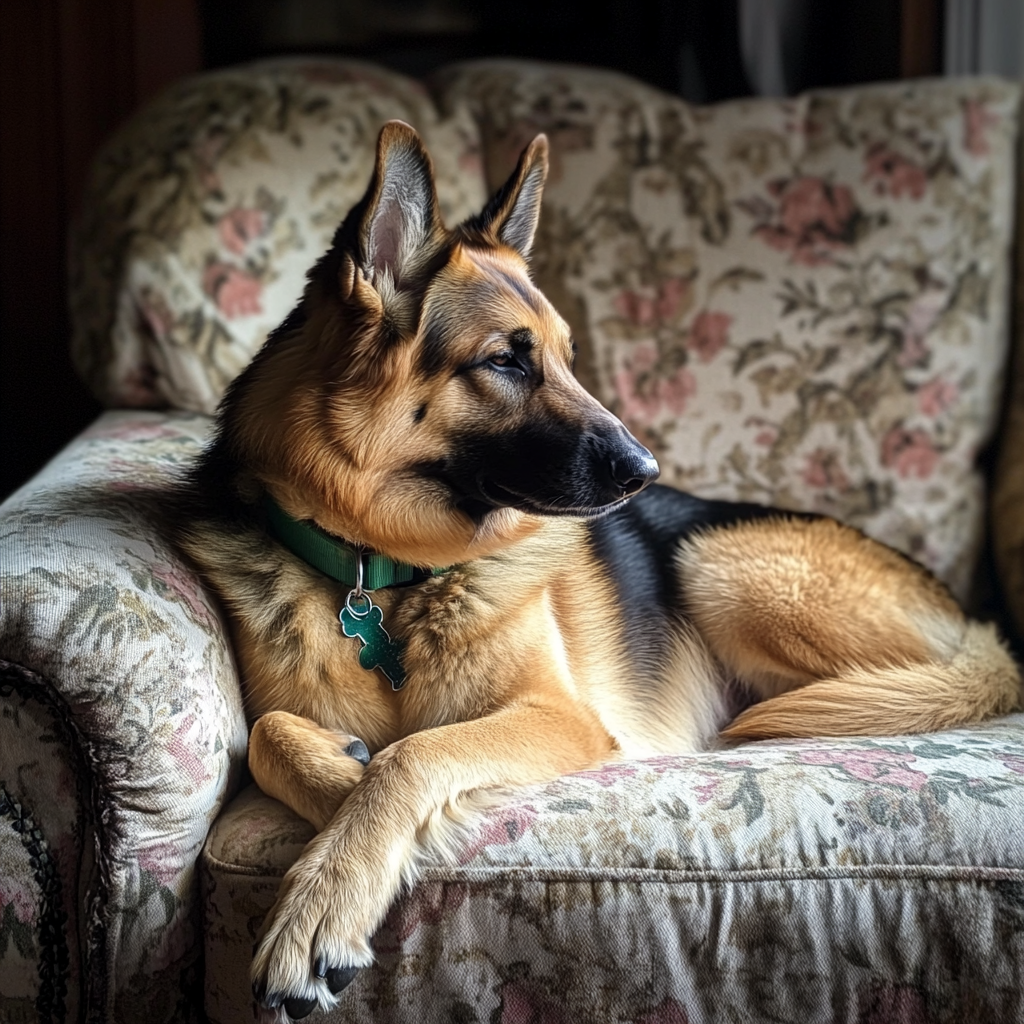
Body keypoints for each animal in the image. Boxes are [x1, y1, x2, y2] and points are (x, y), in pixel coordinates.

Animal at [180, 119, 1019, 1015]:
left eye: (566, 358)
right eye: (506, 361)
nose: (646, 471)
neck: (389, 576)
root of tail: (977, 627)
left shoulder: (562, 716)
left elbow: (415, 753)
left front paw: (333, 883)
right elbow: (273, 734)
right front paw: (347, 796)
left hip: (721, 564)